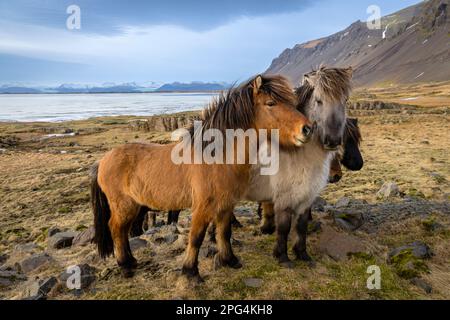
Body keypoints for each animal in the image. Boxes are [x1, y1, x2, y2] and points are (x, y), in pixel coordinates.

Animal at [89, 75, 312, 280]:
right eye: (271, 103)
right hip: (124, 205)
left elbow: (224, 232)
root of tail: (103, 161)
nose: (307, 129)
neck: (217, 158)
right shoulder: (203, 206)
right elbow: (196, 237)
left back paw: (131, 261)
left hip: (134, 206)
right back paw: (125, 266)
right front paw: (191, 272)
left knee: (123, 231)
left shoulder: (226, 204)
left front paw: (230, 260)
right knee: (116, 229)